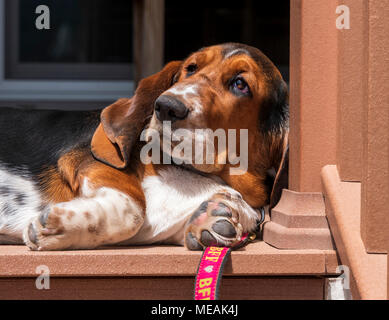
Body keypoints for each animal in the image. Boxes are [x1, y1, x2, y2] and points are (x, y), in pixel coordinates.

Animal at [0, 43, 284, 252]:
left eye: (240, 84)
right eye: (190, 69)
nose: (166, 106)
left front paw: (213, 221)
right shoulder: (90, 162)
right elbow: (133, 210)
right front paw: (57, 227)